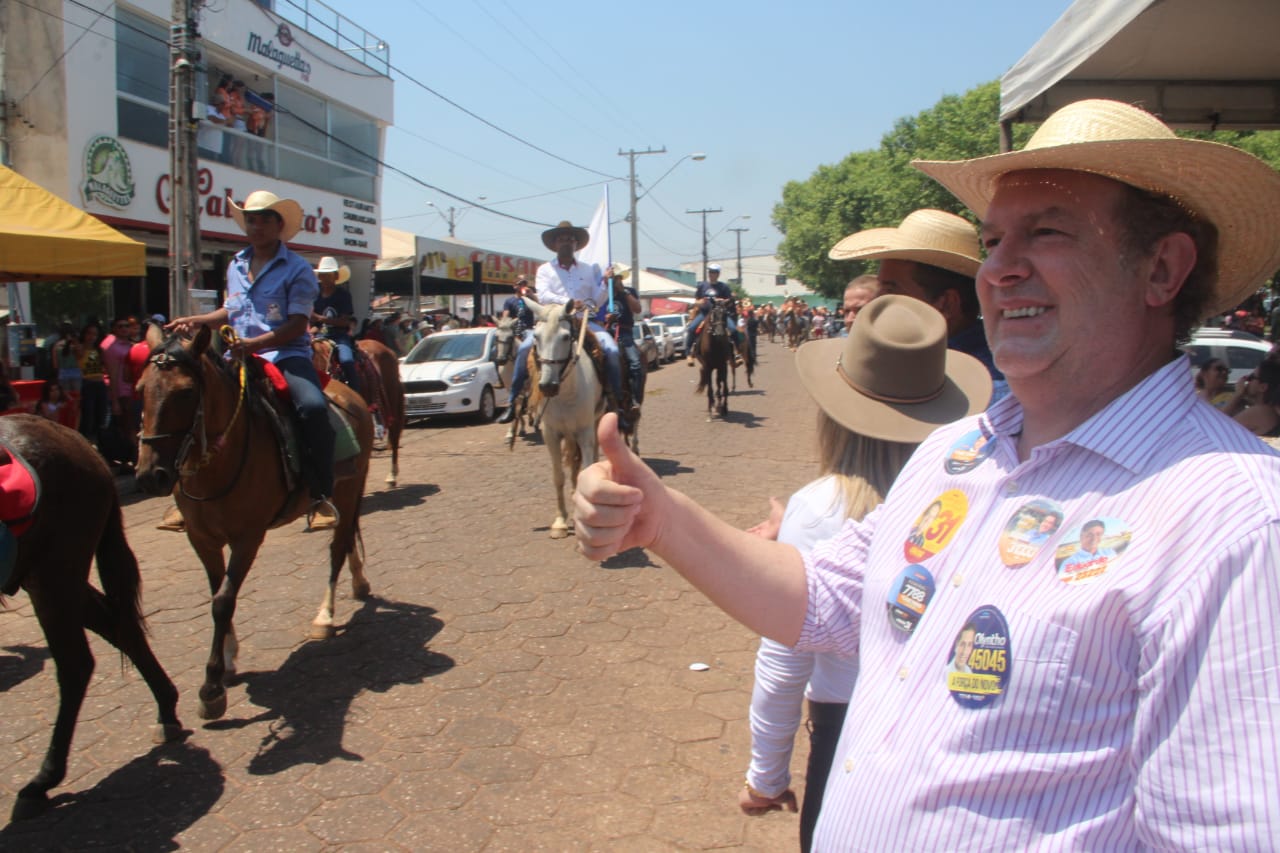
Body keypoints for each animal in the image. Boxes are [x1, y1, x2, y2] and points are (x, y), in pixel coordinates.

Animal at [0, 416, 182, 820]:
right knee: (119, 628)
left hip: (55, 572)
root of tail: (79, 443)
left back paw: (42, 781)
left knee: (76, 663)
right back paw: (166, 709)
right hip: (49, 574)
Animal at [134, 325, 373, 721]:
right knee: (349, 537)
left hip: (348, 488)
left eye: (185, 392)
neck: (218, 463)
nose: (150, 475)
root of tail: (351, 394)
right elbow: (217, 593)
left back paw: (324, 617)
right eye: (140, 389)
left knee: (338, 548)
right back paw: (359, 583)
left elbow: (223, 601)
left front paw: (211, 688)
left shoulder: (247, 538)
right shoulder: (202, 539)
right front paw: (229, 659)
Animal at [527, 299, 604, 539]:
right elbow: (558, 476)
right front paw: (560, 521)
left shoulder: (585, 432)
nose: (547, 386)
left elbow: (588, 469)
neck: (565, 394)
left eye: (565, 336)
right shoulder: (551, 434)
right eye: (536, 336)